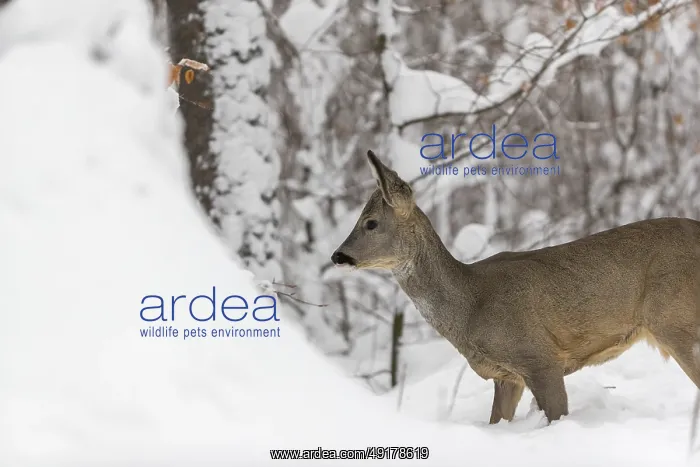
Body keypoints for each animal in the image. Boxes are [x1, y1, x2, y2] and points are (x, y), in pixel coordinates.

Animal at [331, 149, 700, 425]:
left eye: (371, 223)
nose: (338, 255)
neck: (469, 306)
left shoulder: (540, 357)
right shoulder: (506, 376)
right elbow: (497, 421)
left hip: (675, 319)